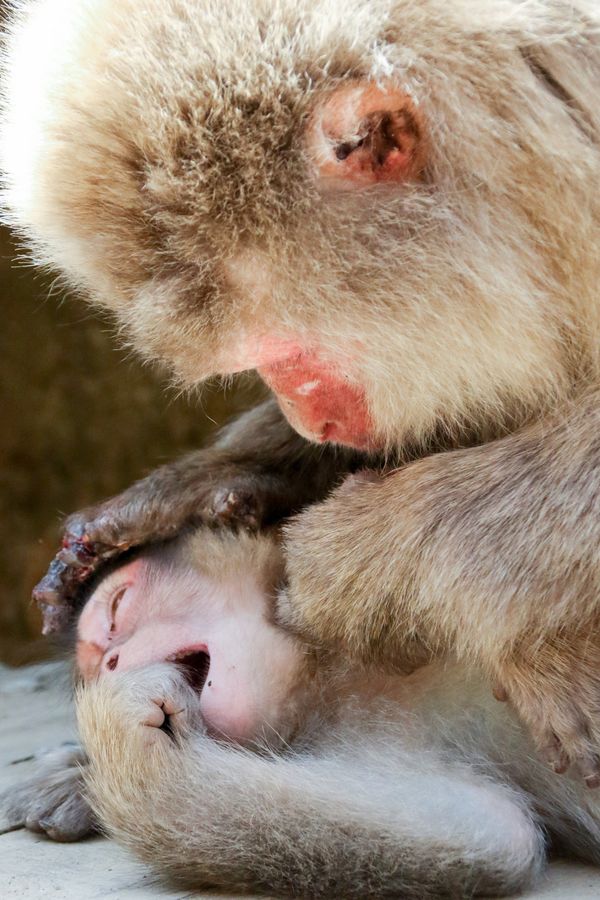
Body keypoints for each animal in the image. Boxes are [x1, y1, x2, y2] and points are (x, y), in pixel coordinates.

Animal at [6, 522, 600, 897]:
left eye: (117, 607)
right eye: (92, 664)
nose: (109, 664)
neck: (327, 672)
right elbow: (487, 835)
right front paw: (95, 765)